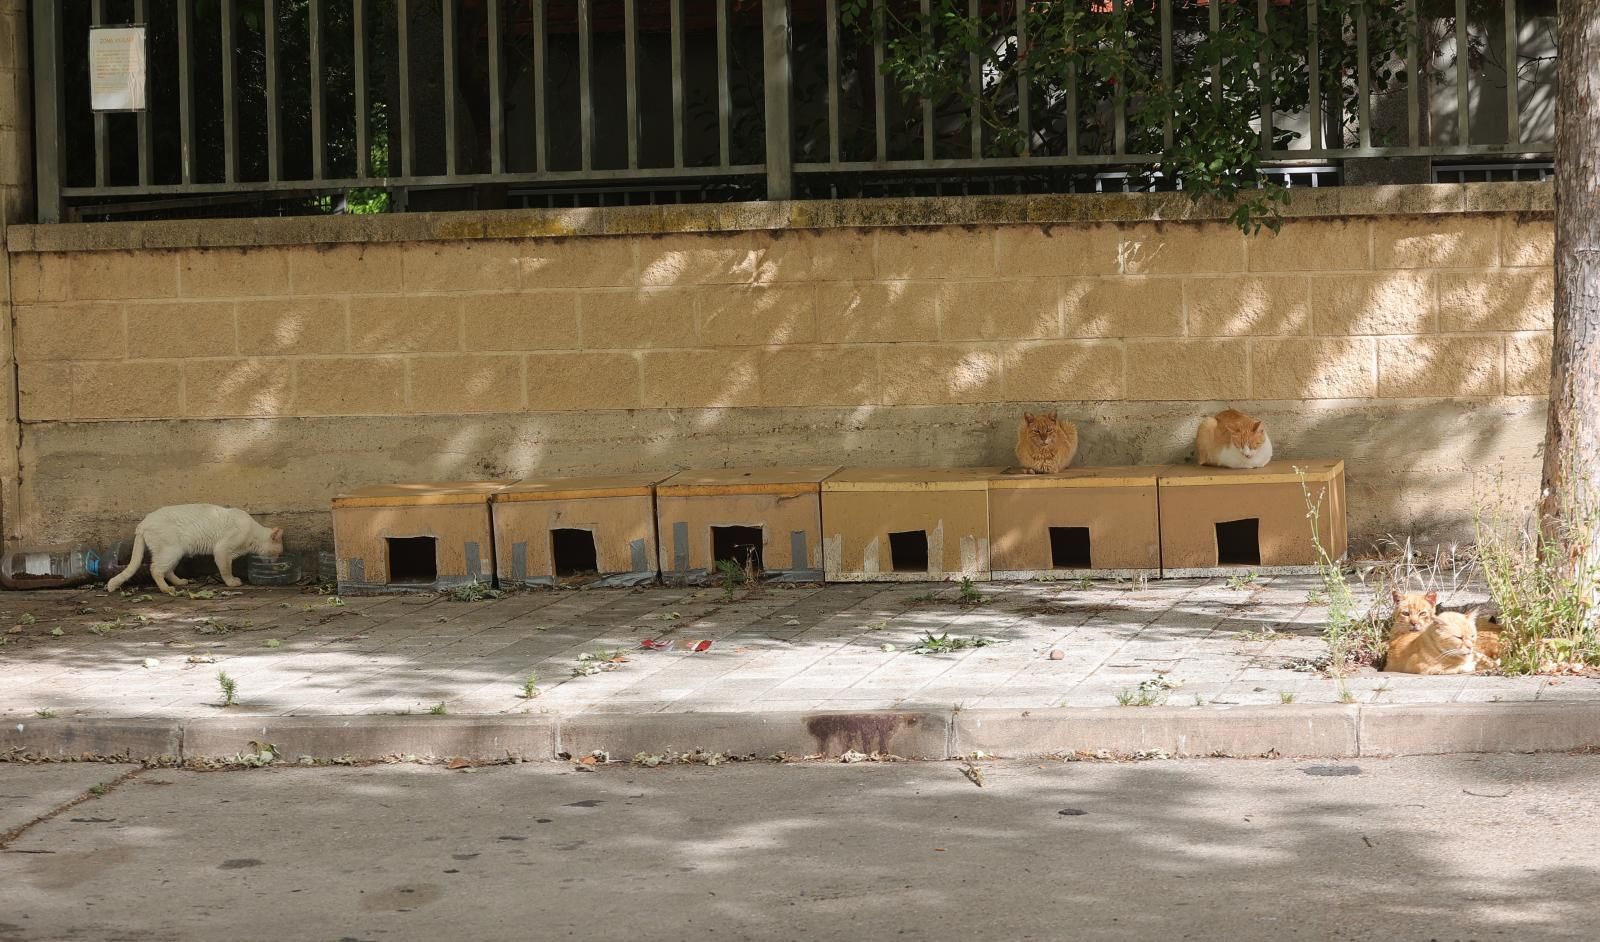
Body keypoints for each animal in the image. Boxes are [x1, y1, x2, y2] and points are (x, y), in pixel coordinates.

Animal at [103, 502, 284, 591]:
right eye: (278, 553)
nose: (277, 562)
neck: (253, 535)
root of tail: (143, 523)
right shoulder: (221, 551)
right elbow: (226, 570)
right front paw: (232, 582)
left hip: (176, 553)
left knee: (167, 570)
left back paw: (180, 582)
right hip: (171, 551)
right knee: (155, 569)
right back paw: (166, 589)